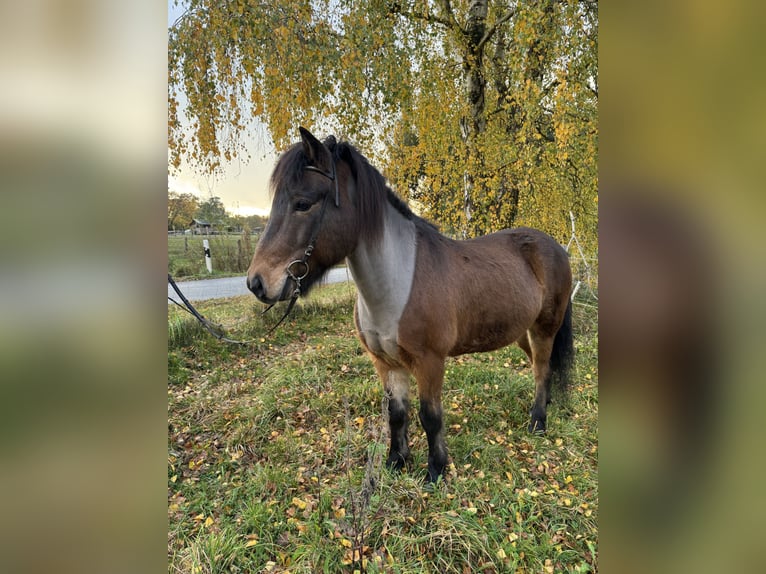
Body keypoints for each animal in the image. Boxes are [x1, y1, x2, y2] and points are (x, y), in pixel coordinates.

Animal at [247, 127, 574, 483]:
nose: (257, 282)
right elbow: (396, 414)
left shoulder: (429, 362)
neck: (397, 285)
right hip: (522, 332)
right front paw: (396, 461)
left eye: (303, 203)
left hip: (544, 328)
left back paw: (538, 421)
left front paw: (436, 470)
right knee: (541, 366)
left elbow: (430, 416)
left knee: (542, 369)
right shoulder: (386, 363)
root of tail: (555, 246)